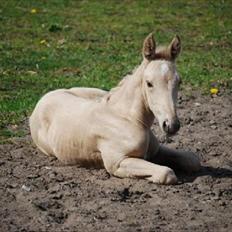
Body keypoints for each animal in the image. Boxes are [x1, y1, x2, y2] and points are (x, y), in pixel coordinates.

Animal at [29, 33, 200, 185]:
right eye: (149, 83)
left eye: (179, 82)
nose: (171, 125)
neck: (127, 118)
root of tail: (44, 98)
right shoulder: (118, 162)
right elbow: (166, 173)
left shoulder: (156, 150)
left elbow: (193, 160)